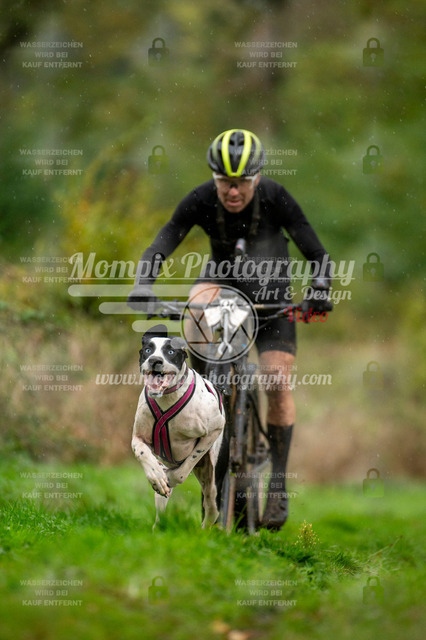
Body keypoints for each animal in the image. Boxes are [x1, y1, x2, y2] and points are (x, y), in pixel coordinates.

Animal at [131, 324, 225, 528]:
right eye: (148, 350)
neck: (168, 397)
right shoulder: (138, 437)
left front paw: (171, 478)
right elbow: (142, 452)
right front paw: (156, 476)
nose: (155, 360)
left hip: (213, 478)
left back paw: (203, 531)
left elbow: (185, 468)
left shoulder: (215, 428)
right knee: (162, 509)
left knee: (212, 508)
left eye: (171, 352)